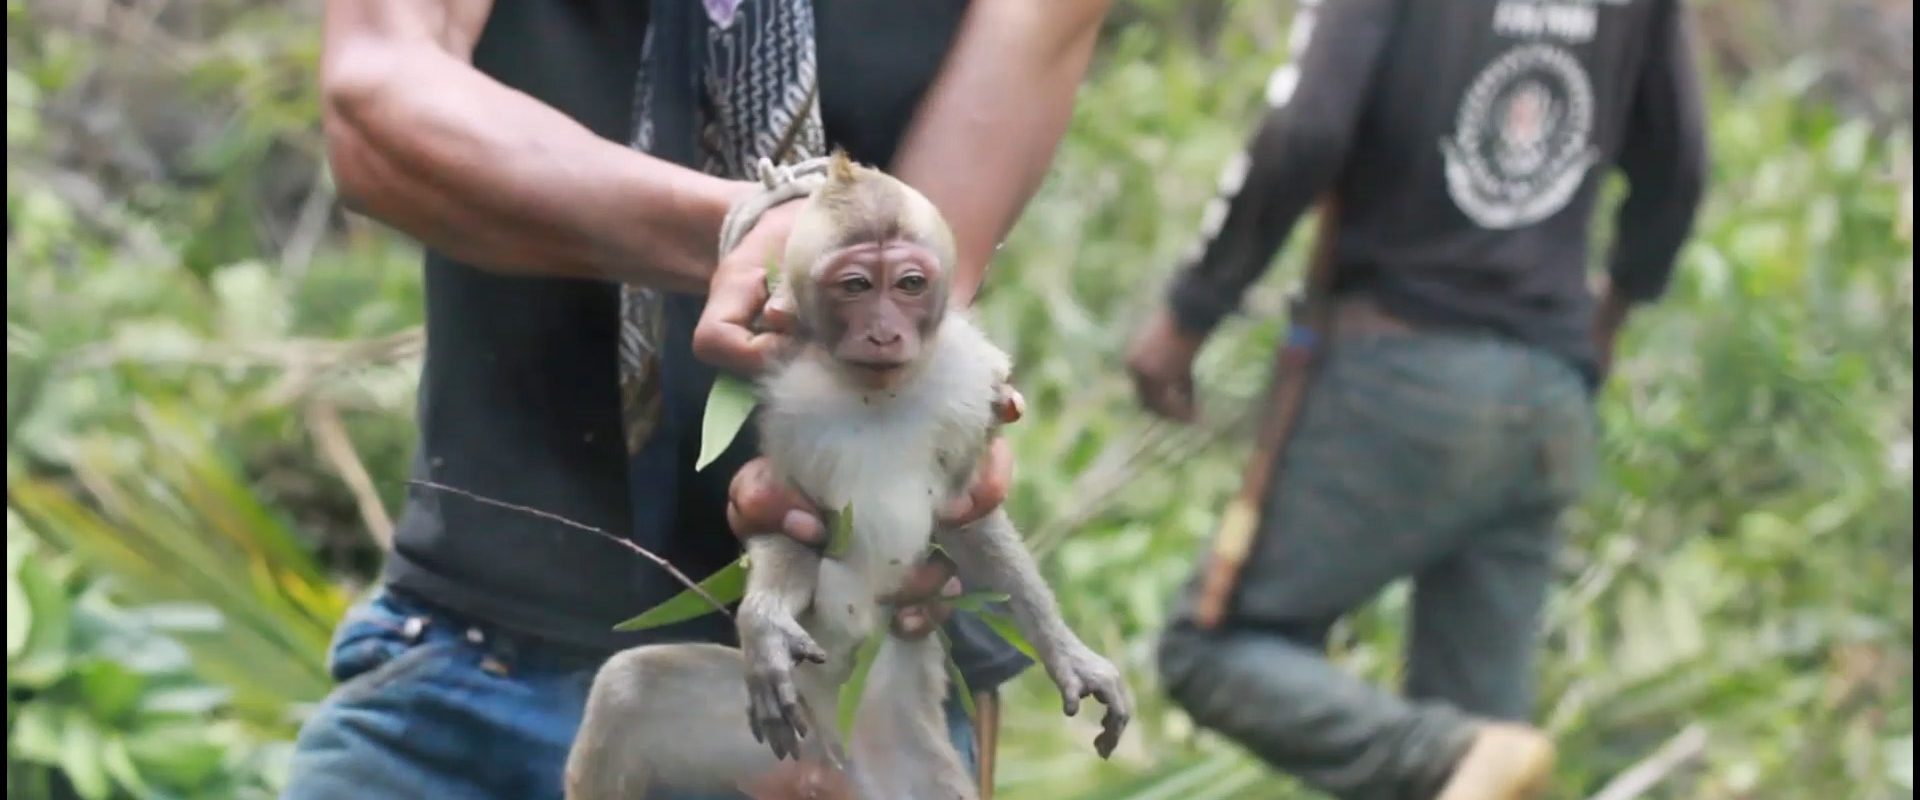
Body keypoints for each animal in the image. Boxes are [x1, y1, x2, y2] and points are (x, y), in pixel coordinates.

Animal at [560, 151, 1128, 798]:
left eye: (909, 284)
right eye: (855, 286)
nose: (883, 331)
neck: (876, 392)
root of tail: (832, 759)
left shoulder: (967, 384)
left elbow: (967, 516)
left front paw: (1064, 651)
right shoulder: (790, 401)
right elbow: (797, 520)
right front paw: (765, 622)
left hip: (908, 760)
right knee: (628, 689)